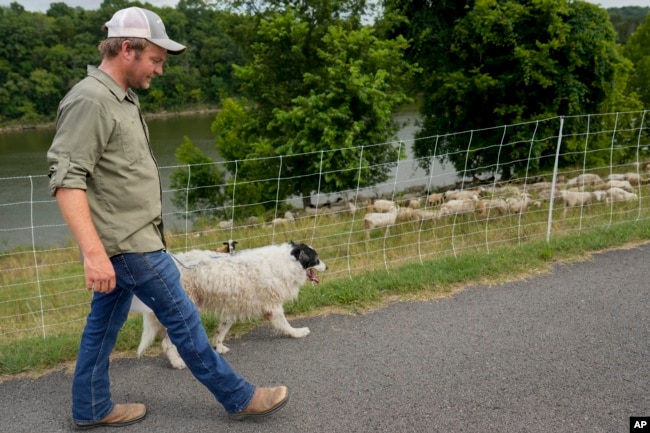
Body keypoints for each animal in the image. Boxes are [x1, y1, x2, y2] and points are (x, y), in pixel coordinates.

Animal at [131, 240, 324, 368]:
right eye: (316, 259)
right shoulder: (273, 306)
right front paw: (297, 333)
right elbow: (285, 324)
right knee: (167, 343)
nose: (327, 267)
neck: (287, 261)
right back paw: (178, 362)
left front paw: (218, 346)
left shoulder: (232, 307)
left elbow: (222, 330)